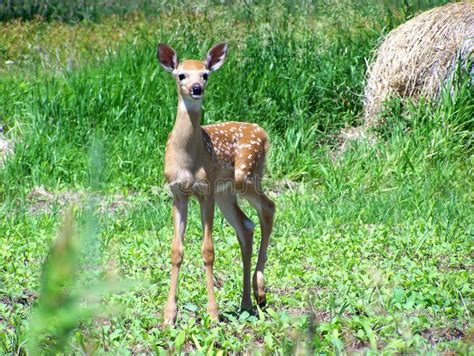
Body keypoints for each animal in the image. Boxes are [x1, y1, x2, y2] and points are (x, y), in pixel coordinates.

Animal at [158, 41, 274, 326]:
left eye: (205, 74)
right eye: (181, 75)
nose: (196, 88)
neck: (188, 159)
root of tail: (263, 132)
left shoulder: (206, 190)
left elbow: (208, 250)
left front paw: (212, 315)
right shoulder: (177, 192)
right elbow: (176, 251)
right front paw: (169, 317)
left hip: (246, 175)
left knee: (269, 208)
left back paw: (260, 290)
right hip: (226, 192)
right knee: (247, 225)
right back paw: (246, 302)